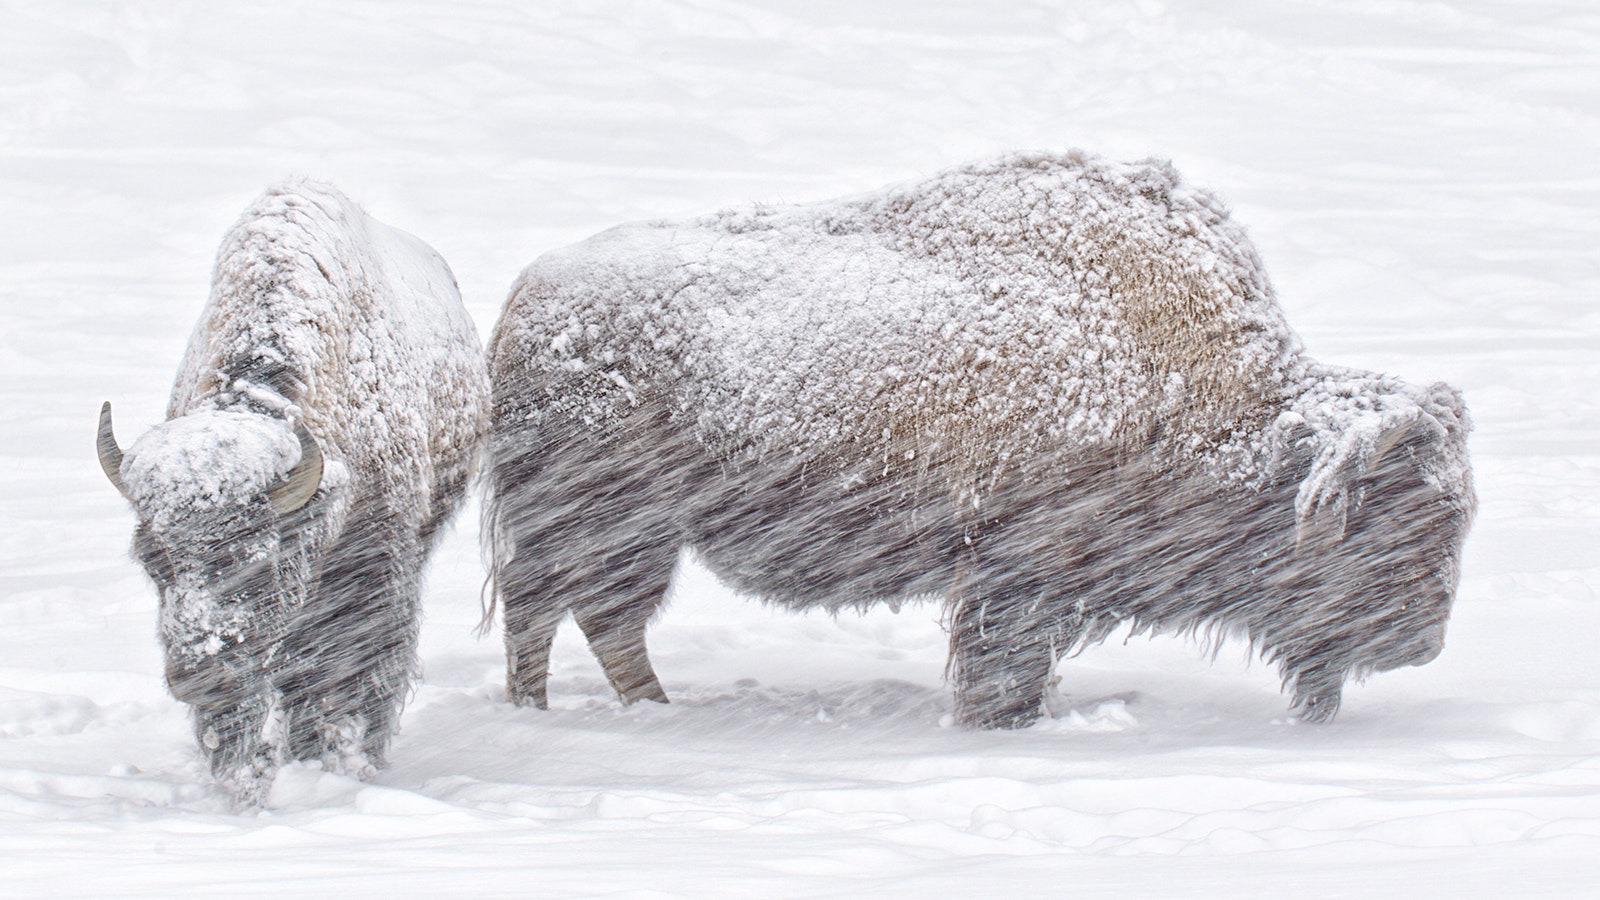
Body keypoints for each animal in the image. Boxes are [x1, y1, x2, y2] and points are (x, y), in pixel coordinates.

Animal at [99, 182, 483, 797]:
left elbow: (354, 668)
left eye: (255, 560)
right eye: (152, 560)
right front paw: (242, 779)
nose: (198, 674)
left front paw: (345, 763)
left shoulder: (374, 564)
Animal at [483, 150, 1472, 730]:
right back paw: (557, 716)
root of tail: (529, 300)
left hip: (635, 537)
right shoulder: (1016, 576)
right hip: (603, 528)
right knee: (553, 613)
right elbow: (1003, 665)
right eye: (1391, 520)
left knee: (595, 619)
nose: (1421, 645)